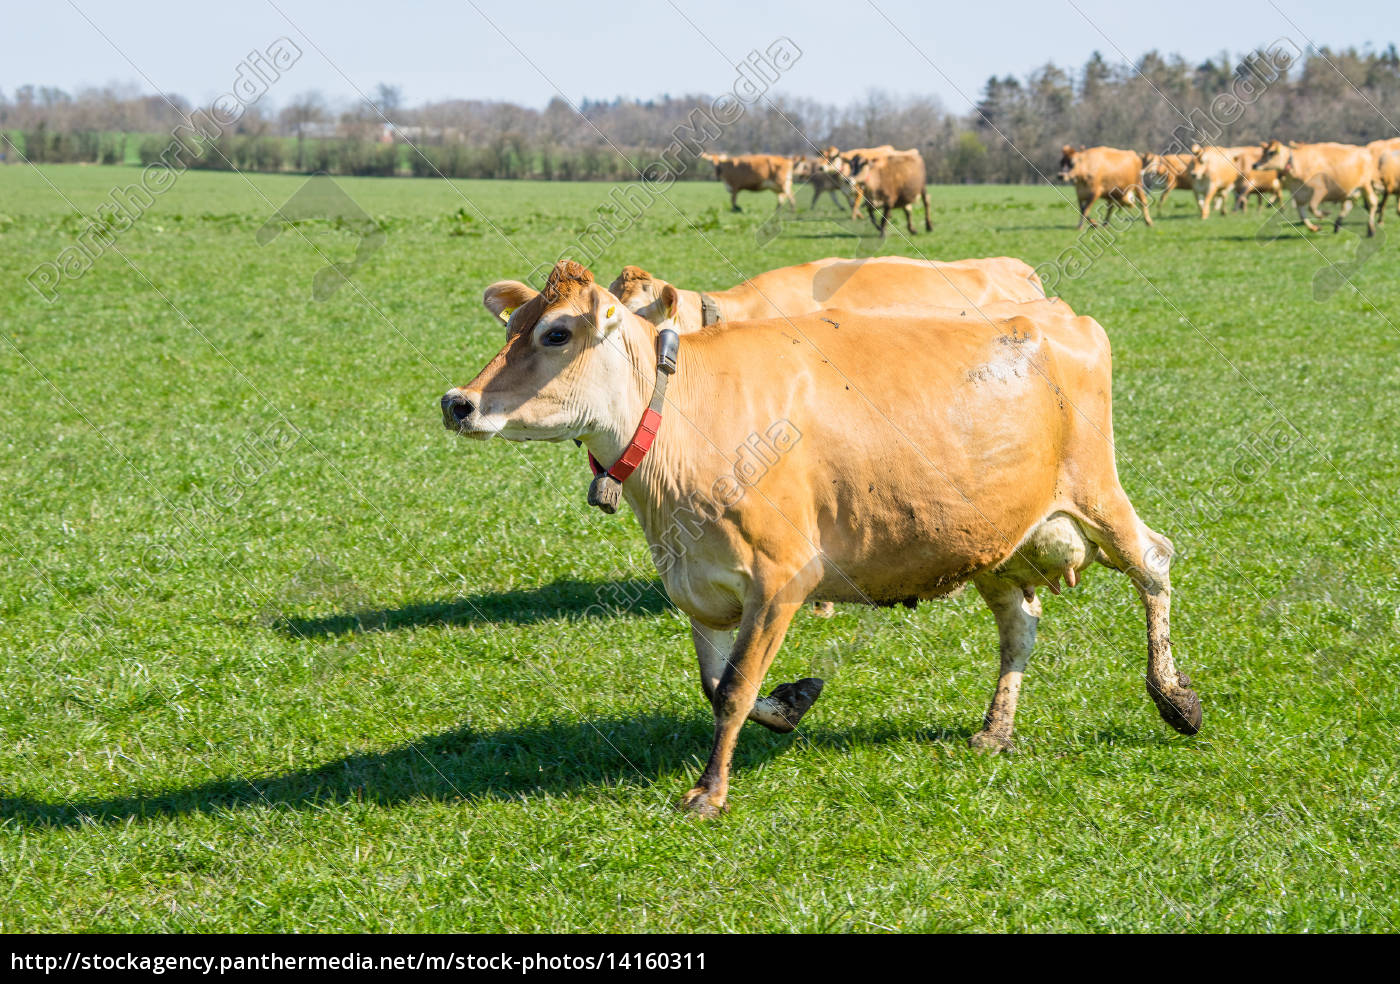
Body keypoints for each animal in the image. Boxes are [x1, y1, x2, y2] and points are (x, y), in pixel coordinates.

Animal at [442, 260, 1198, 817]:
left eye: (557, 334)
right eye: (513, 325)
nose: (458, 402)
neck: (686, 424)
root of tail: (1056, 313)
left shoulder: (783, 576)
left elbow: (735, 687)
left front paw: (709, 792)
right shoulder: (697, 586)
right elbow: (716, 683)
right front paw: (791, 702)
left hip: (1097, 492)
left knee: (1153, 563)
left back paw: (1174, 697)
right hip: (995, 535)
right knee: (1020, 624)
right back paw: (995, 729)